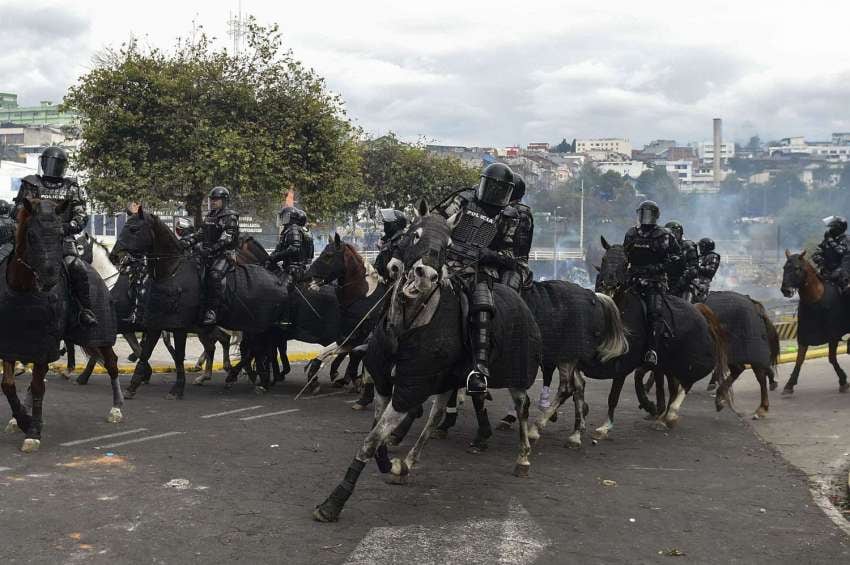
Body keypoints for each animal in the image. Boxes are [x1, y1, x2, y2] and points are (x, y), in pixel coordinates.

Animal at [0, 196, 123, 452]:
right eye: (31, 235)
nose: (49, 278)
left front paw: (33, 431)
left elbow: (38, 386)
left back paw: (116, 408)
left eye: (59, 234)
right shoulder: (11, 345)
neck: (23, 289)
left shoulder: (44, 345)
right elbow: (9, 385)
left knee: (112, 363)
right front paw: (23, 420)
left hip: (100, 335)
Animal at [116, 209, 288, 398]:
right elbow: (146, 352)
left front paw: (177, 388)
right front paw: (133, 386)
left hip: (256, 327)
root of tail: (276, 279)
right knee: (251, 349)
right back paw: (249, 378)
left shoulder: (179, 326)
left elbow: (178, 354)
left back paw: (250, 378)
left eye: (134, 229)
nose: (116, 256)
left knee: (255, 348)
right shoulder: (157, 322)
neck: (172, 272)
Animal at [314, 202, 544, 520]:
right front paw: (390, 462)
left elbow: (370, 441)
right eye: (414, 234)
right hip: (448, 380)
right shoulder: (387, 384)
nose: (424, 276)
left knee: (522, 405)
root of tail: (519, 296)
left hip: (516, 375)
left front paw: (334, 502)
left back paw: (522, 457)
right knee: (436, 414)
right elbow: (377, 432)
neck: (405, 326)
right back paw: (409, 461)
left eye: (448, 245)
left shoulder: (410, 388)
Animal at [776, 250, 848, 392]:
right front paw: (789, 384)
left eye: (797, 268)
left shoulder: (833, 336)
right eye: (784, 268)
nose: (785, 290)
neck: (816, 300)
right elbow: (799, 359)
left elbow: (832, 358)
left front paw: (843, 380)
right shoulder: (804, 336)